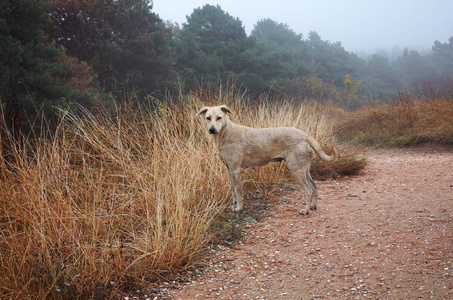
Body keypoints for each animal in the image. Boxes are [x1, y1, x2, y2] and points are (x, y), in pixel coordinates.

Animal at [196, 105, 338, 216]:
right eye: (208, 118)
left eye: (219, 117)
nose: (212, 129)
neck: (225, 133)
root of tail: (305, 136)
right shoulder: (229, 170)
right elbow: (233, 191)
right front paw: (233, 206)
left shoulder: (235, 170)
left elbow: (239, 191)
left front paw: (239, 208)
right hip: (304, 169)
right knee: (314, 187)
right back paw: (313, 206)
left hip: (296, 171)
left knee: (308, 191)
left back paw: (306, 210)